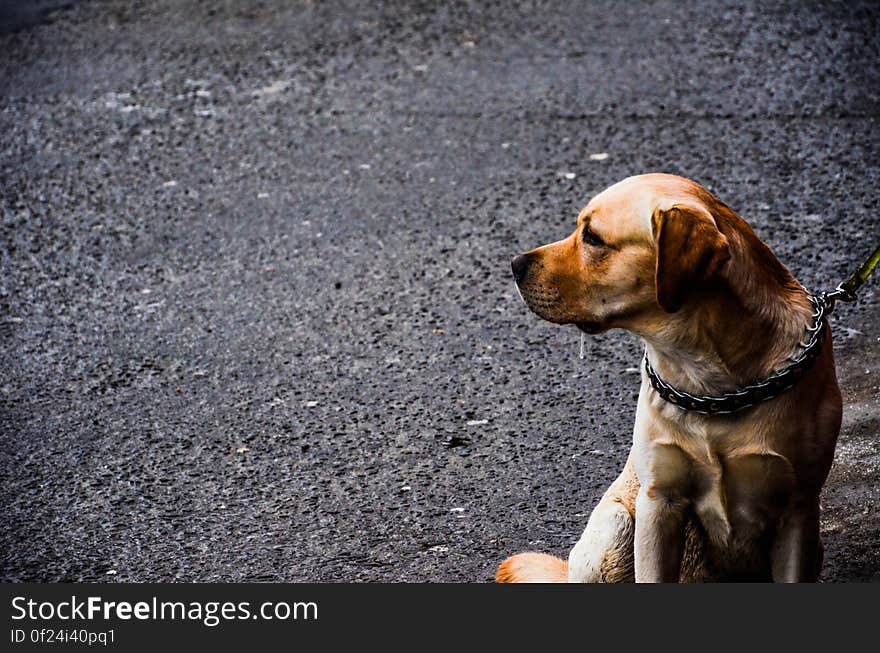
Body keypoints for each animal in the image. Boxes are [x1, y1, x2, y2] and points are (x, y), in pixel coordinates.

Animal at [498, 173, 844, 580]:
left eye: (593, 238)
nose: (514, 264)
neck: (711, 386)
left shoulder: (798, 511)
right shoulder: (658, 502)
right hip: (615, 525)